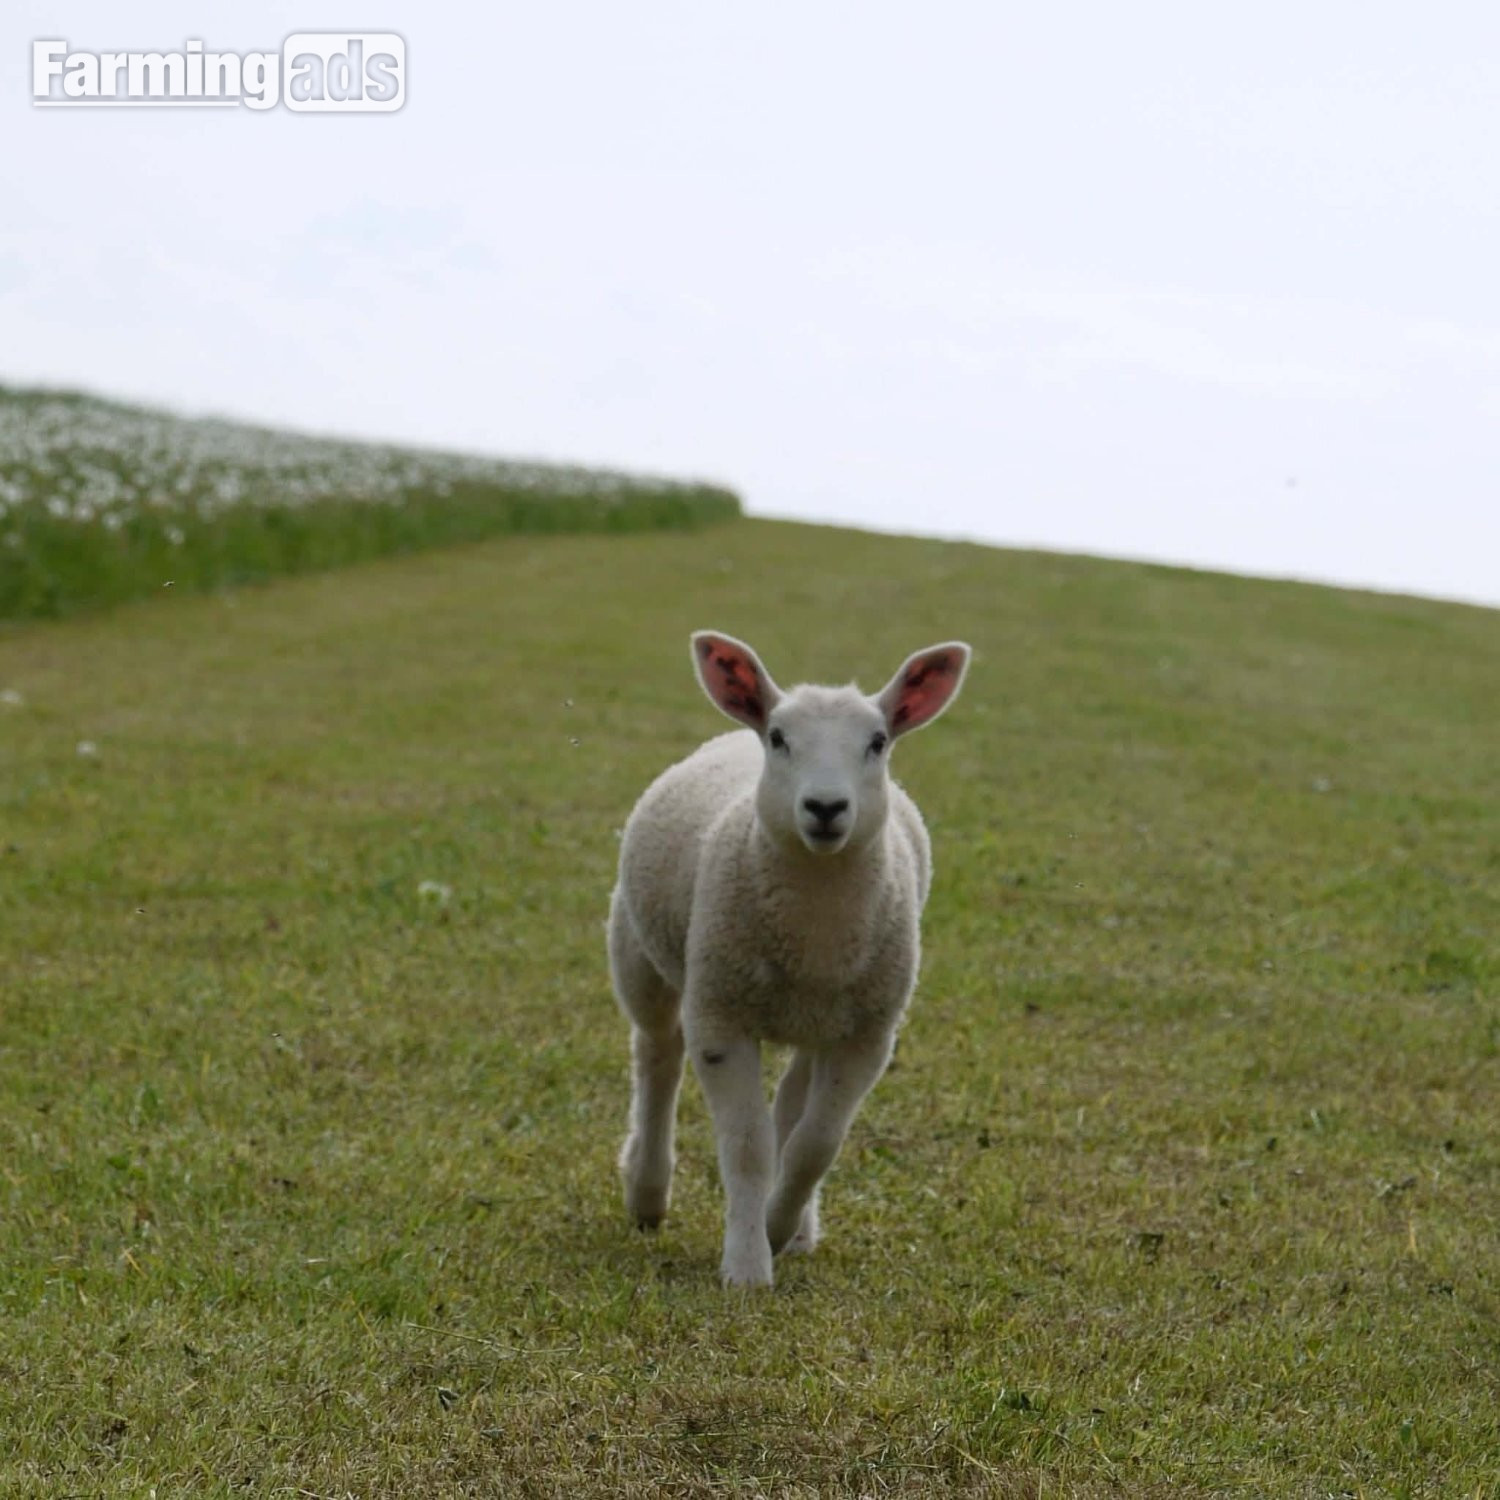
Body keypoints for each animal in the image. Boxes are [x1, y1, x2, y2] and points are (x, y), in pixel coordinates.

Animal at [607, 630, 971, 1287]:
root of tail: (733, 733)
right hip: (640, 952)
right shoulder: (720, 1016)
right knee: (657, 1056)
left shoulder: (868, 1035)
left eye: (877, 742)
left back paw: (796, 1228)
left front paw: (777, 1227)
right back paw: (647, 1192)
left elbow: (814, 1145)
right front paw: (747, 1267)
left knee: (791, 1098)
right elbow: (748, 1146)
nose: (825, 807)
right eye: (780, 738)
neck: (815, 928)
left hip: (821, 1016)